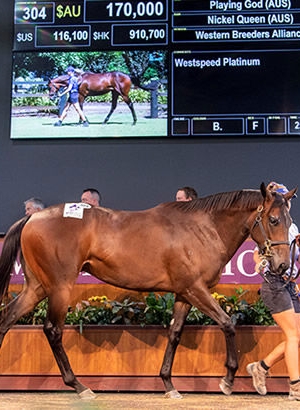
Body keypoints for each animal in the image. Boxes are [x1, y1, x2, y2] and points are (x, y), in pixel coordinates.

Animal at [0, 184, 296, 398]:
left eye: (289, 219)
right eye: (272, 219)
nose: (283, 265)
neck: (202, 228)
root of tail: (32, 217)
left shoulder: (184, 293)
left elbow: (175, 333)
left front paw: (168, 384)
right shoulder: (196, 289)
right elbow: (228, 323)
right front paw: (227, 380)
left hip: (37, 287)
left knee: (6, 320)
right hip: (60, 286)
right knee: (52, 330)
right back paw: (80, 386)